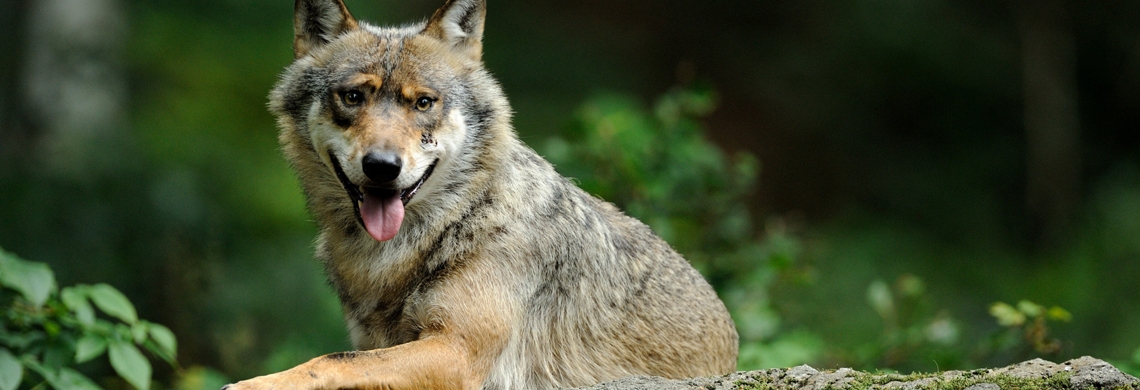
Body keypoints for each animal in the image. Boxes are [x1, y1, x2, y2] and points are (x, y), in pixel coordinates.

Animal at [226, 0, 734, 387]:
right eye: (353, 97)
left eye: (423, 102)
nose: (382, 167)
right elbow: (340, 358)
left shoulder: (457, 350)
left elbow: (329, 361)